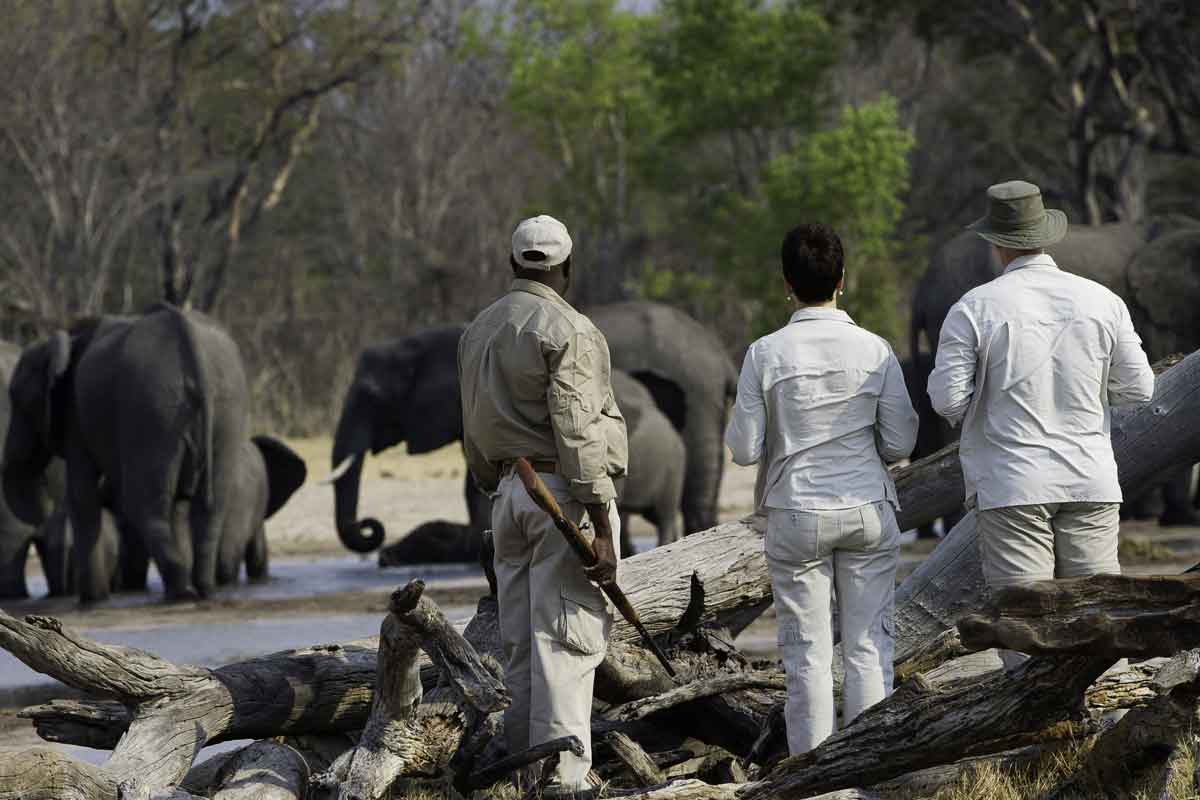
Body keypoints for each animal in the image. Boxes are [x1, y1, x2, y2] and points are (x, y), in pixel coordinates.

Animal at [4, 303, 253, 604]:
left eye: (18, 401)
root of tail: (188, 336)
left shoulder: (76, 415)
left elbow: (82, 497)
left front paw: (92, 601)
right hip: (225, 406)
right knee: (208, 505)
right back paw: (203, 591)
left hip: (152, 406)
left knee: (144, 506)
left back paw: (181, 593)